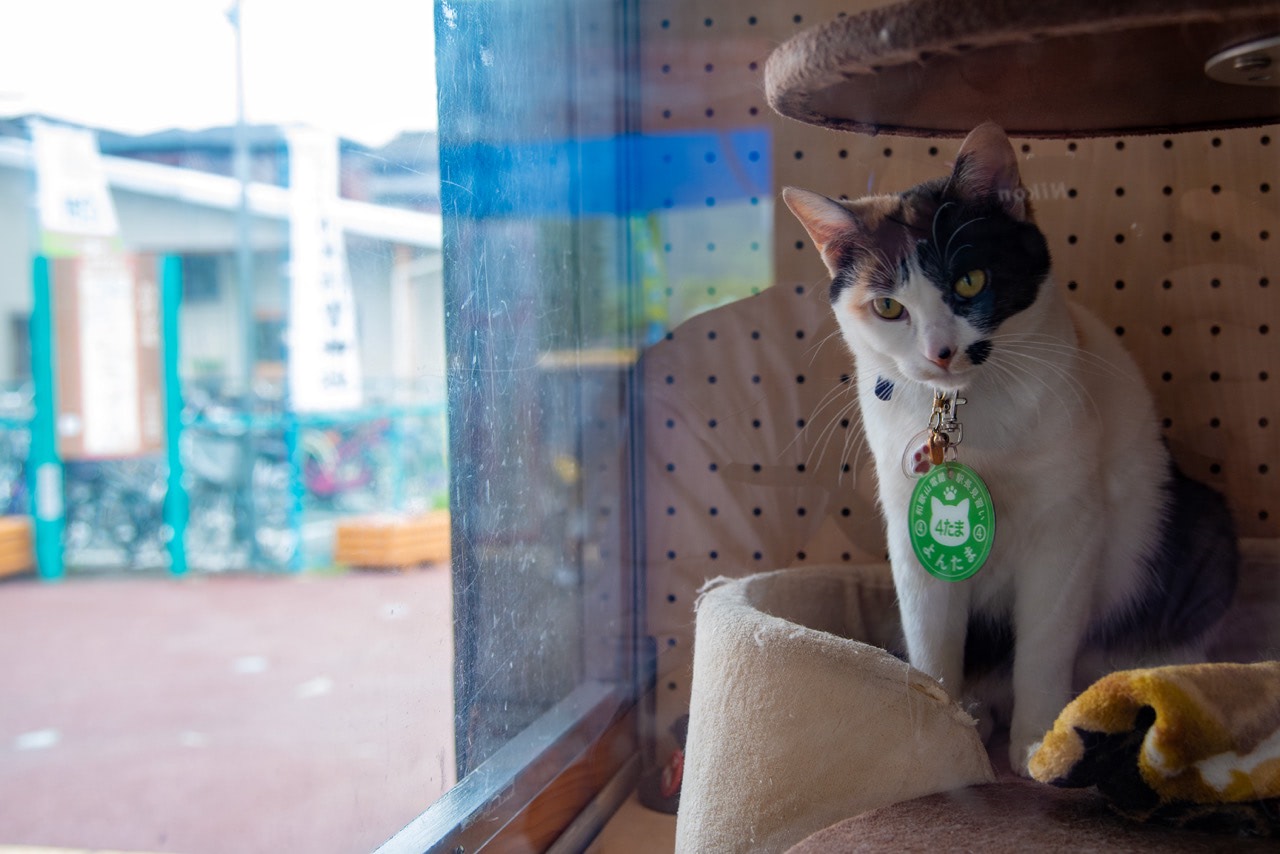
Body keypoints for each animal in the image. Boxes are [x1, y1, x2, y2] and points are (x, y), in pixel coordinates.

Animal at [778, 121, 1239, 773]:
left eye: (970, 280)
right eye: (888, 306)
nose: (941, 351)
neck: (970, 417)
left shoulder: (1066, 524)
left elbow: (1044, 644)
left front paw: (1040, 742)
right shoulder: (910, 531)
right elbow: (931, 642)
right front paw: (940, 734)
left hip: (1202, 535)